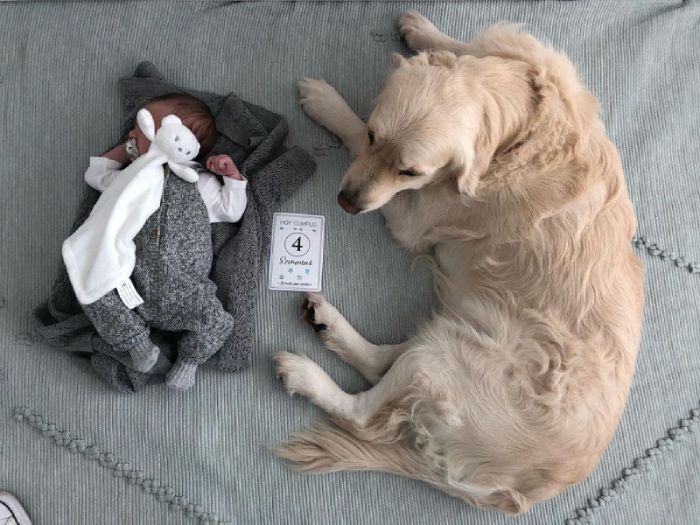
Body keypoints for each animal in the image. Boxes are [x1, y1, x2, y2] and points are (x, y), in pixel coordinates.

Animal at [270, 11, 644, 512]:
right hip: (451, 336)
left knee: (364, 411)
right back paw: (326, 322)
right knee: (382, 361)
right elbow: (465, 47)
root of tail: (514, 495)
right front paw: (422, 30)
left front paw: (328, 103)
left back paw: (305, 373)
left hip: (445, 362)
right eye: (374, 135)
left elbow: (354, 137)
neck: (518, 135)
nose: (347, 202)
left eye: (411, 172)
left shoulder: (415, 214)